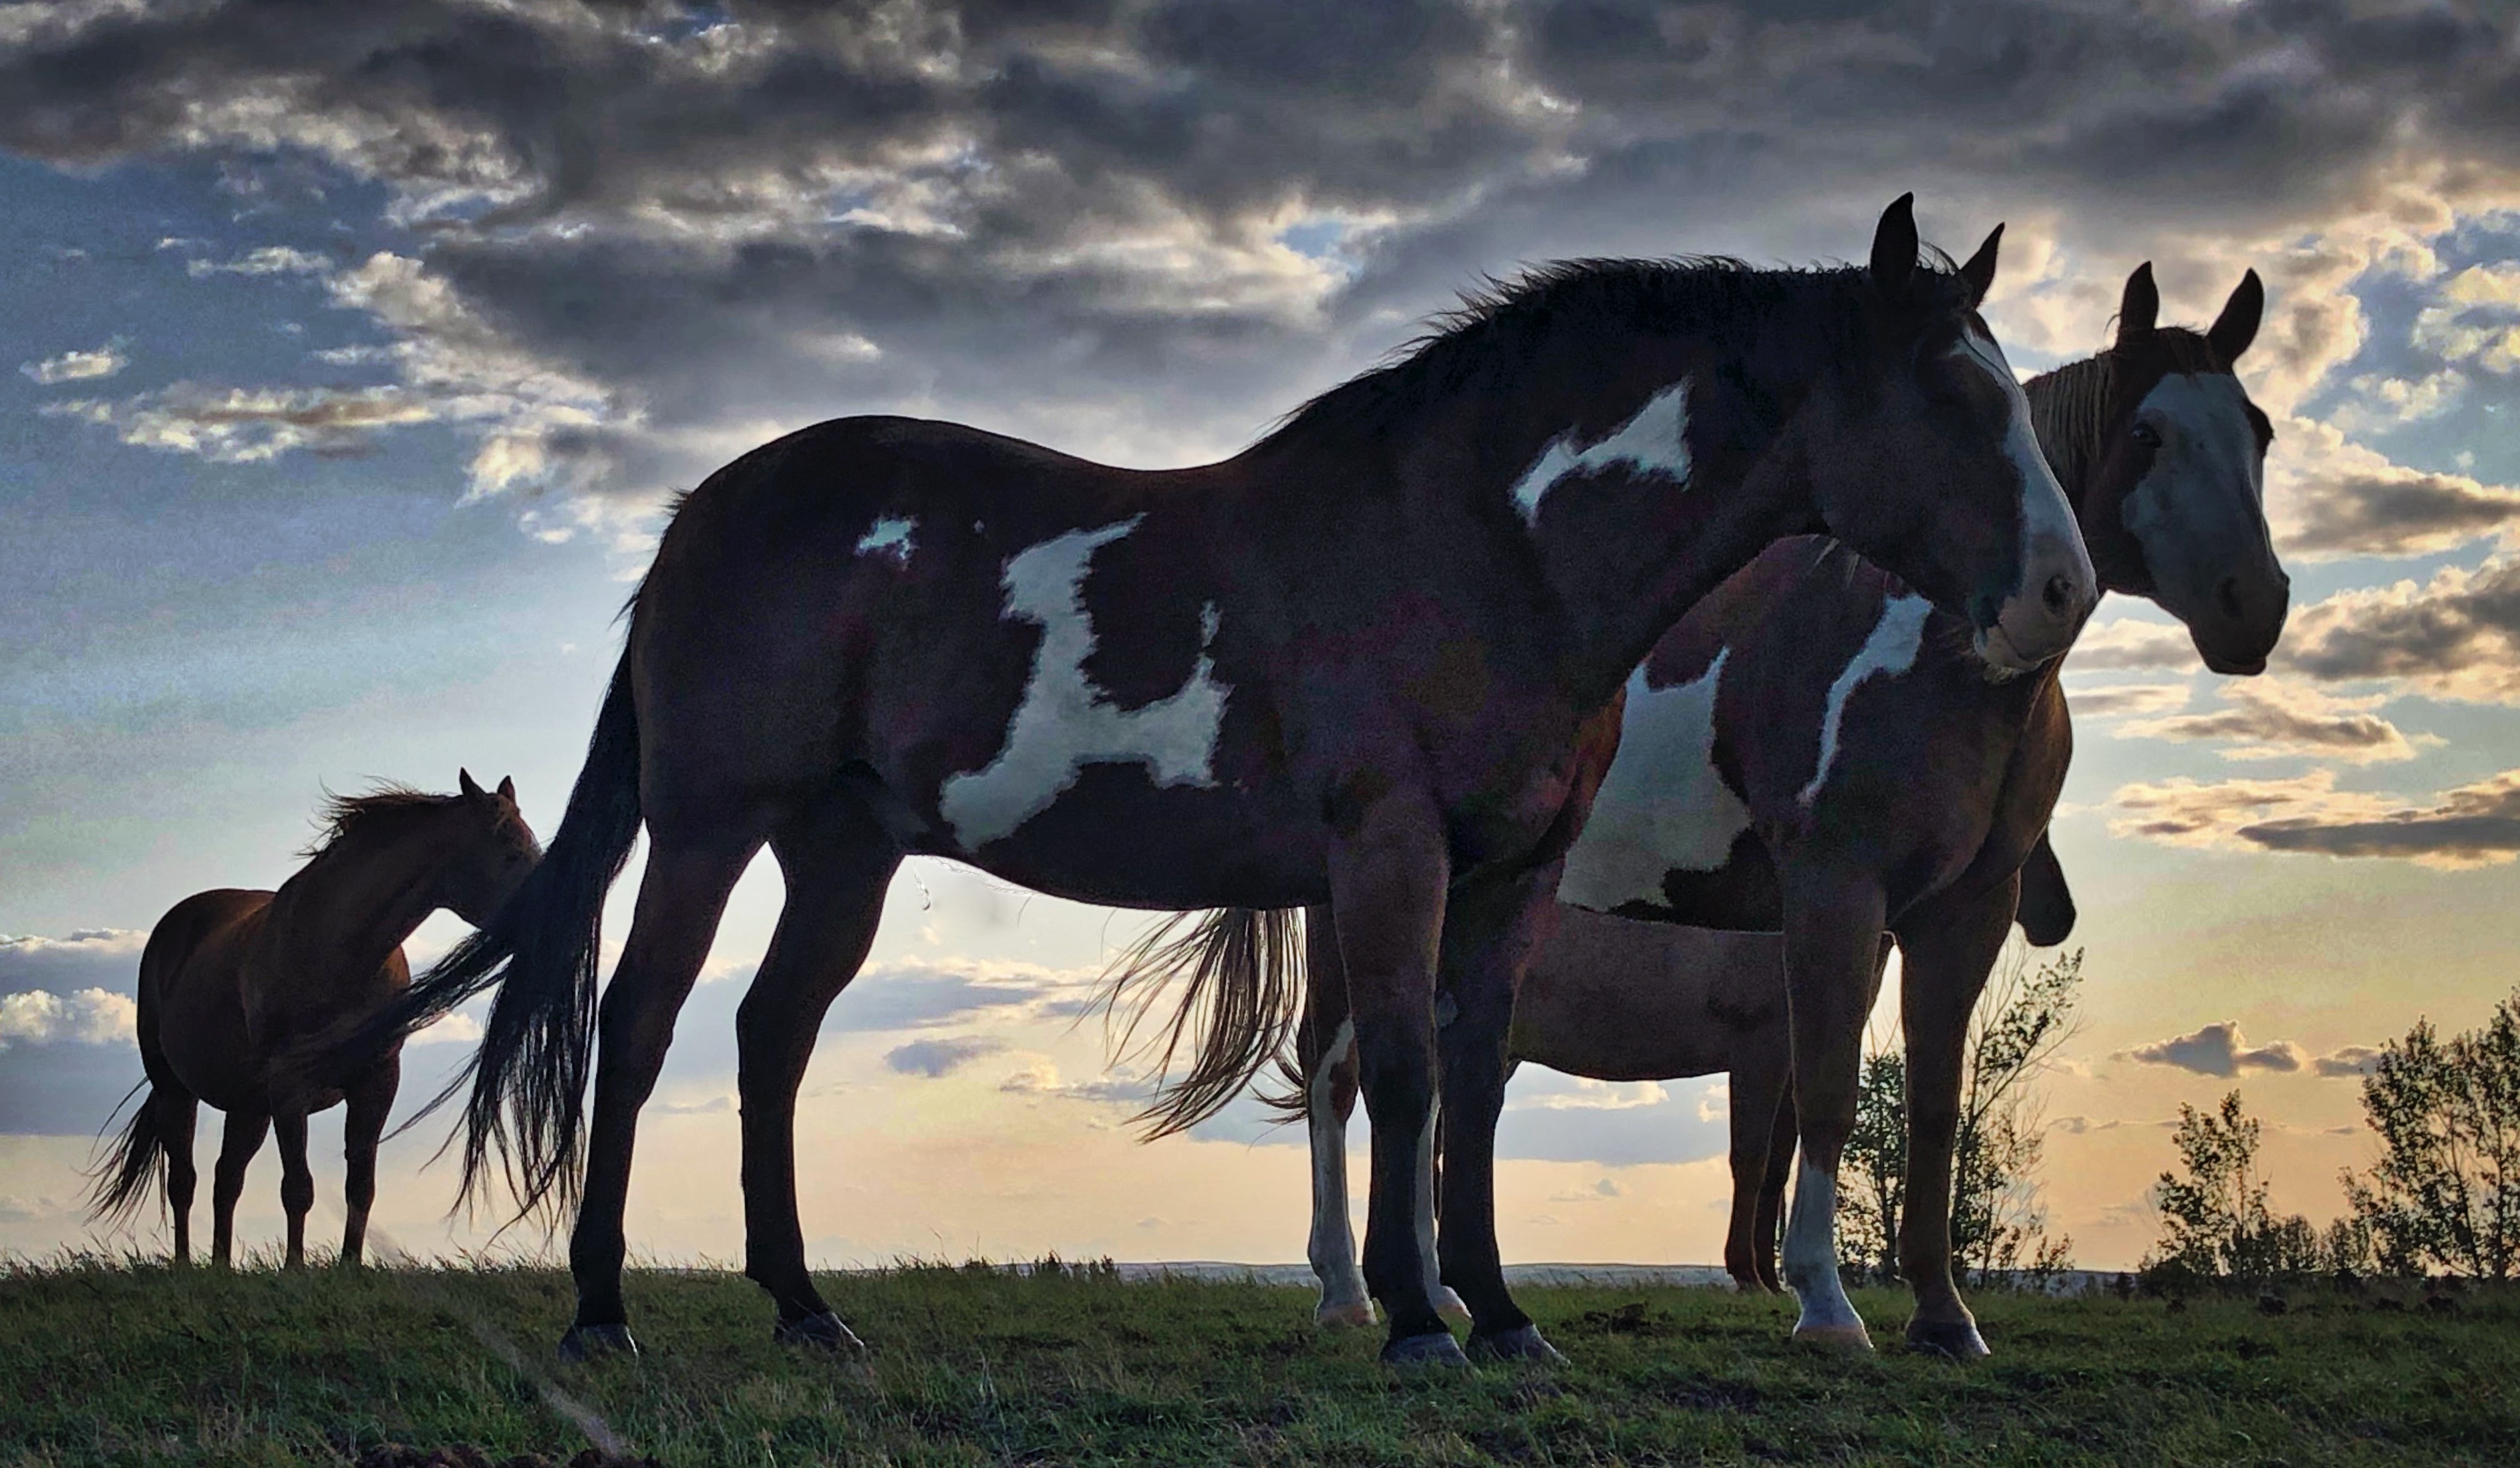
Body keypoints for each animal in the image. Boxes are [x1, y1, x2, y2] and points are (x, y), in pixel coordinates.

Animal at [88, 776, 536, 1271]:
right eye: (510, 854)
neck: (338, 952)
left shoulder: (376, 1081)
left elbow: (361, 1185)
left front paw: (349, 1266)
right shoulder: (290, 1088)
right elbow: (298, 1187)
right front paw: (295, 1269)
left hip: (248, 1106)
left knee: (227, 1178)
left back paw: (222, 1265)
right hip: (176, 1089)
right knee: (184, 1179)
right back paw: (186, 1265)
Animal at [345, 192, 2096, 1372]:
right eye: (1947, 394)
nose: (2058, 592)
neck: (1480, 541)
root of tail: (703, 512)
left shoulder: (1511, 873)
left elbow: (1472, 1080)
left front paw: (1496, 1312)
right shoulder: (1387, 849)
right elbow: (1399, 1069)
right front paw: (1411, 1318)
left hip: (843, 851)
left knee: (770, 1037)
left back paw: (803, 1306)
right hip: (711, 828)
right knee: (639, 1027)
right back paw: (599, 1308)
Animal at [1270, 262, 2277, 1362]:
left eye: (2259, 431)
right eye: (2148, 433)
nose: (2256, 604)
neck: (1934, 647)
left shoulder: (1961, 913)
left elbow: (1933, 1111)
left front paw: (1943, 1315)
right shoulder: (1836, 893)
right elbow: (1829, 1097)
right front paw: (1826, 1304)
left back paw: (1438, 1296)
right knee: (1338, 1082)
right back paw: (1346, 1292)